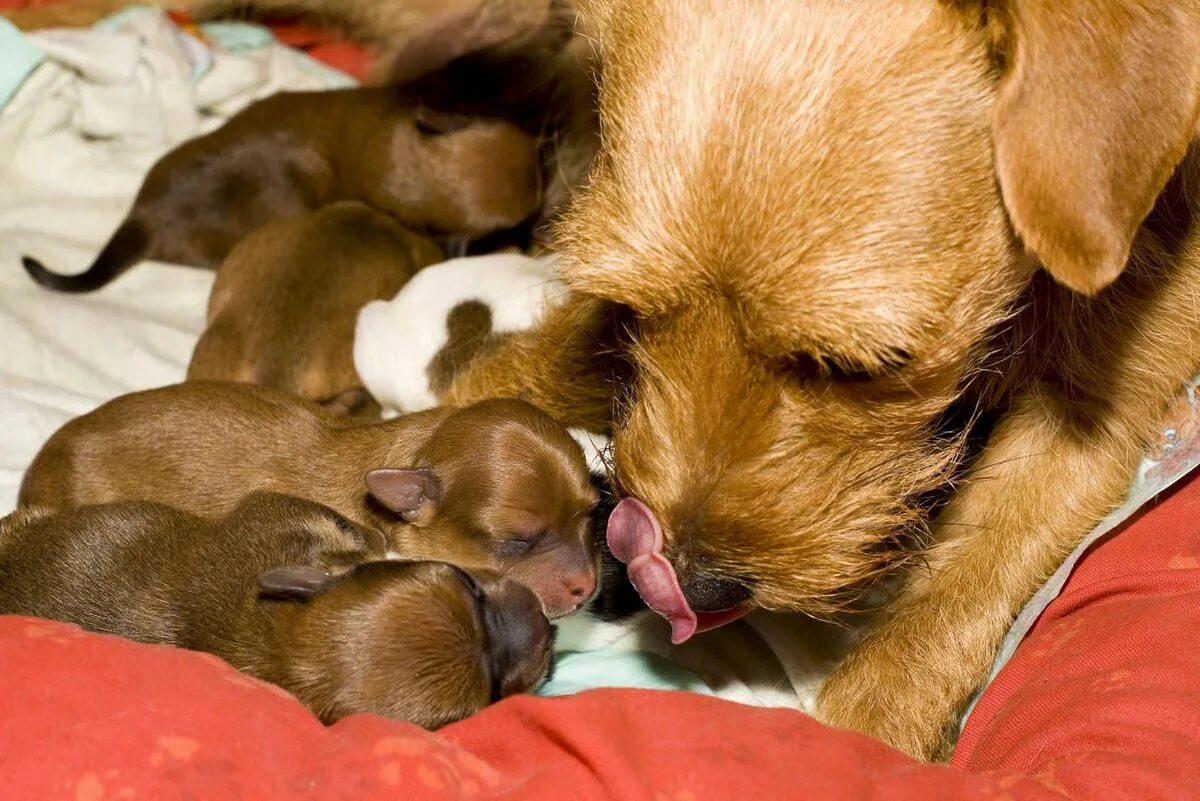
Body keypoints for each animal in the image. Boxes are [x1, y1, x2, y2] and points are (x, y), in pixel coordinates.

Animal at [0, 491, 552, 729]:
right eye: (493, 694)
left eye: (469, 585)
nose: (546, 625)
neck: (277, 641)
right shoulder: (277, 510)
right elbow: (365, 532)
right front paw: (379, 539)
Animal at [446, 0, 1200, 762]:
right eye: (636, 307)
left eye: (865, 366)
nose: (695, 585)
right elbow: (545, 363)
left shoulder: (1089, 417)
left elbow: (961, 584)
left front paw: (870, 728)